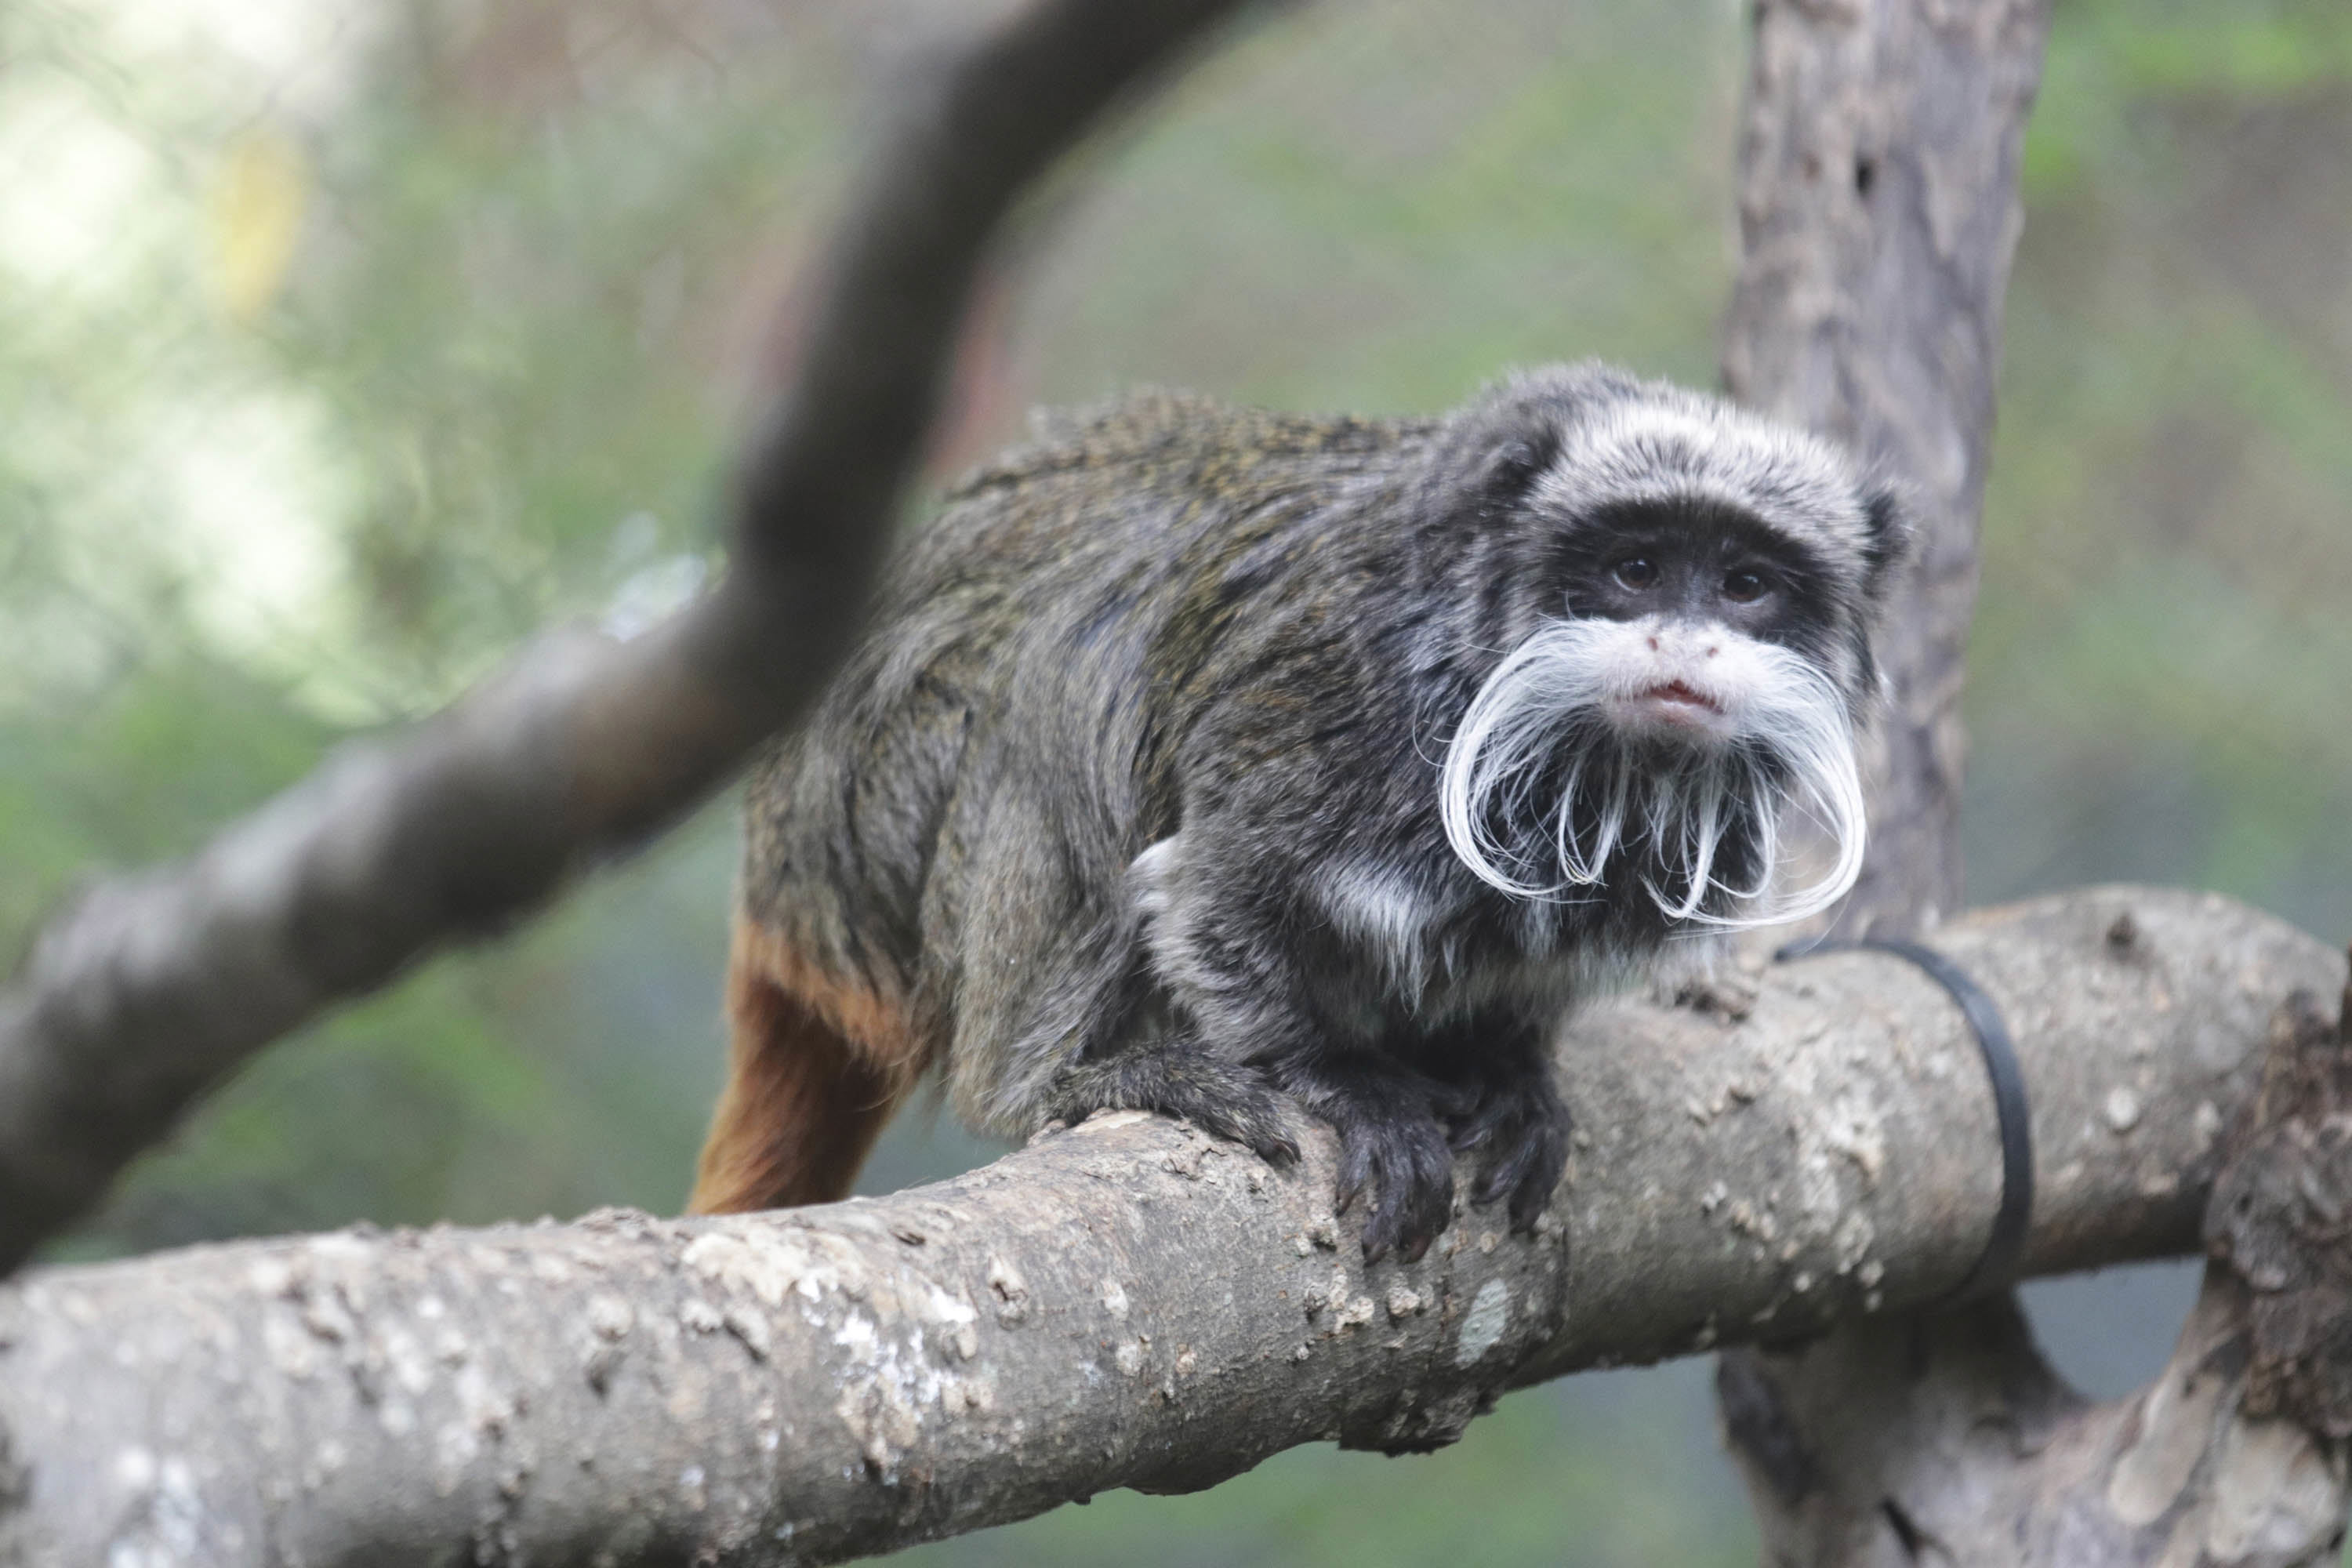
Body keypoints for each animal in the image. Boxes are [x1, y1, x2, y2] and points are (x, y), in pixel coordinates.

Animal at [688, 362, 1909, 1261]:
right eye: (1637, 567)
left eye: (1747, 585)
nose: (1687, 645)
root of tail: (776, 881)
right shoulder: (1328, 704)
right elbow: (1210, 900)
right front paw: (1349, 1084)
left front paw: (1511, 1068)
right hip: (873, 825)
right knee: (1066, 679)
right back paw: (1060, 1078)